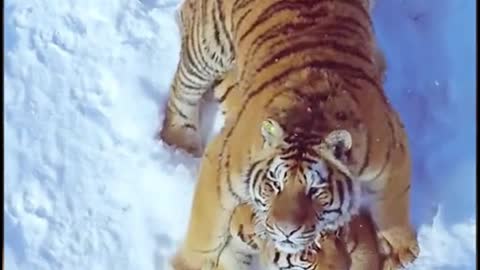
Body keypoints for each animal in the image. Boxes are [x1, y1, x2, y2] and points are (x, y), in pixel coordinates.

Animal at [158, 0, 420, 268]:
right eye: (274, 185)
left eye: (315, 190)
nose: (286, 231)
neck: (310, 120)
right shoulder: (223, 163)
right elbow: (206, 226)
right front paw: (190, 264)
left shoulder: (390, 146)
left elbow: (394, 204)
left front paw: (400, 248)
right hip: (209, 44)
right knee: (184, 86)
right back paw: (180, 141)